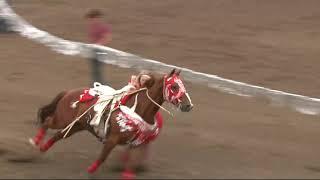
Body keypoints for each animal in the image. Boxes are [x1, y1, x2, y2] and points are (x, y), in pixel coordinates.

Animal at [28, 68, 192, 178]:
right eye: (174, 86)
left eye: (183, 85)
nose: (188, 105)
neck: (138, 110)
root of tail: (68, 92)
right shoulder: (112, 140)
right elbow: (102, 157)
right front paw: (90, 171)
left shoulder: (135, 143)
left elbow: (131, 163)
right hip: (63, 119)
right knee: (47, 123)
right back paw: (35, 142)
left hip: (76, 126)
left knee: (57, 136)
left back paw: (42, 148)